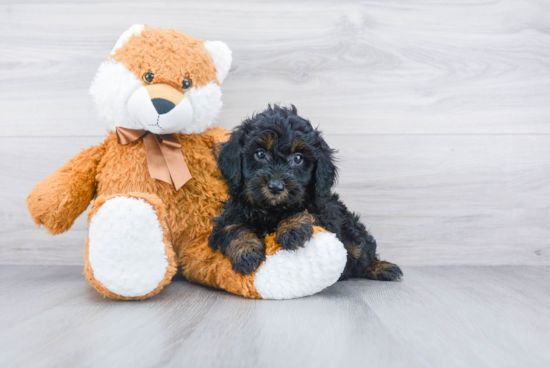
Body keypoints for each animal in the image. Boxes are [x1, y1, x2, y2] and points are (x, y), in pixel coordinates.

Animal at [209, 105, 404, 280]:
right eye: (260, 154)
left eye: (298, 158)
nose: (276, 187)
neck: (271, 210)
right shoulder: (229, 216)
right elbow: (233, 228)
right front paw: (246, 252)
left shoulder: (327, 214)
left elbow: (305, 211)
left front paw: (292, 227)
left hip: (351, 231)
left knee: (362, 252)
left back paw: (382, 268)